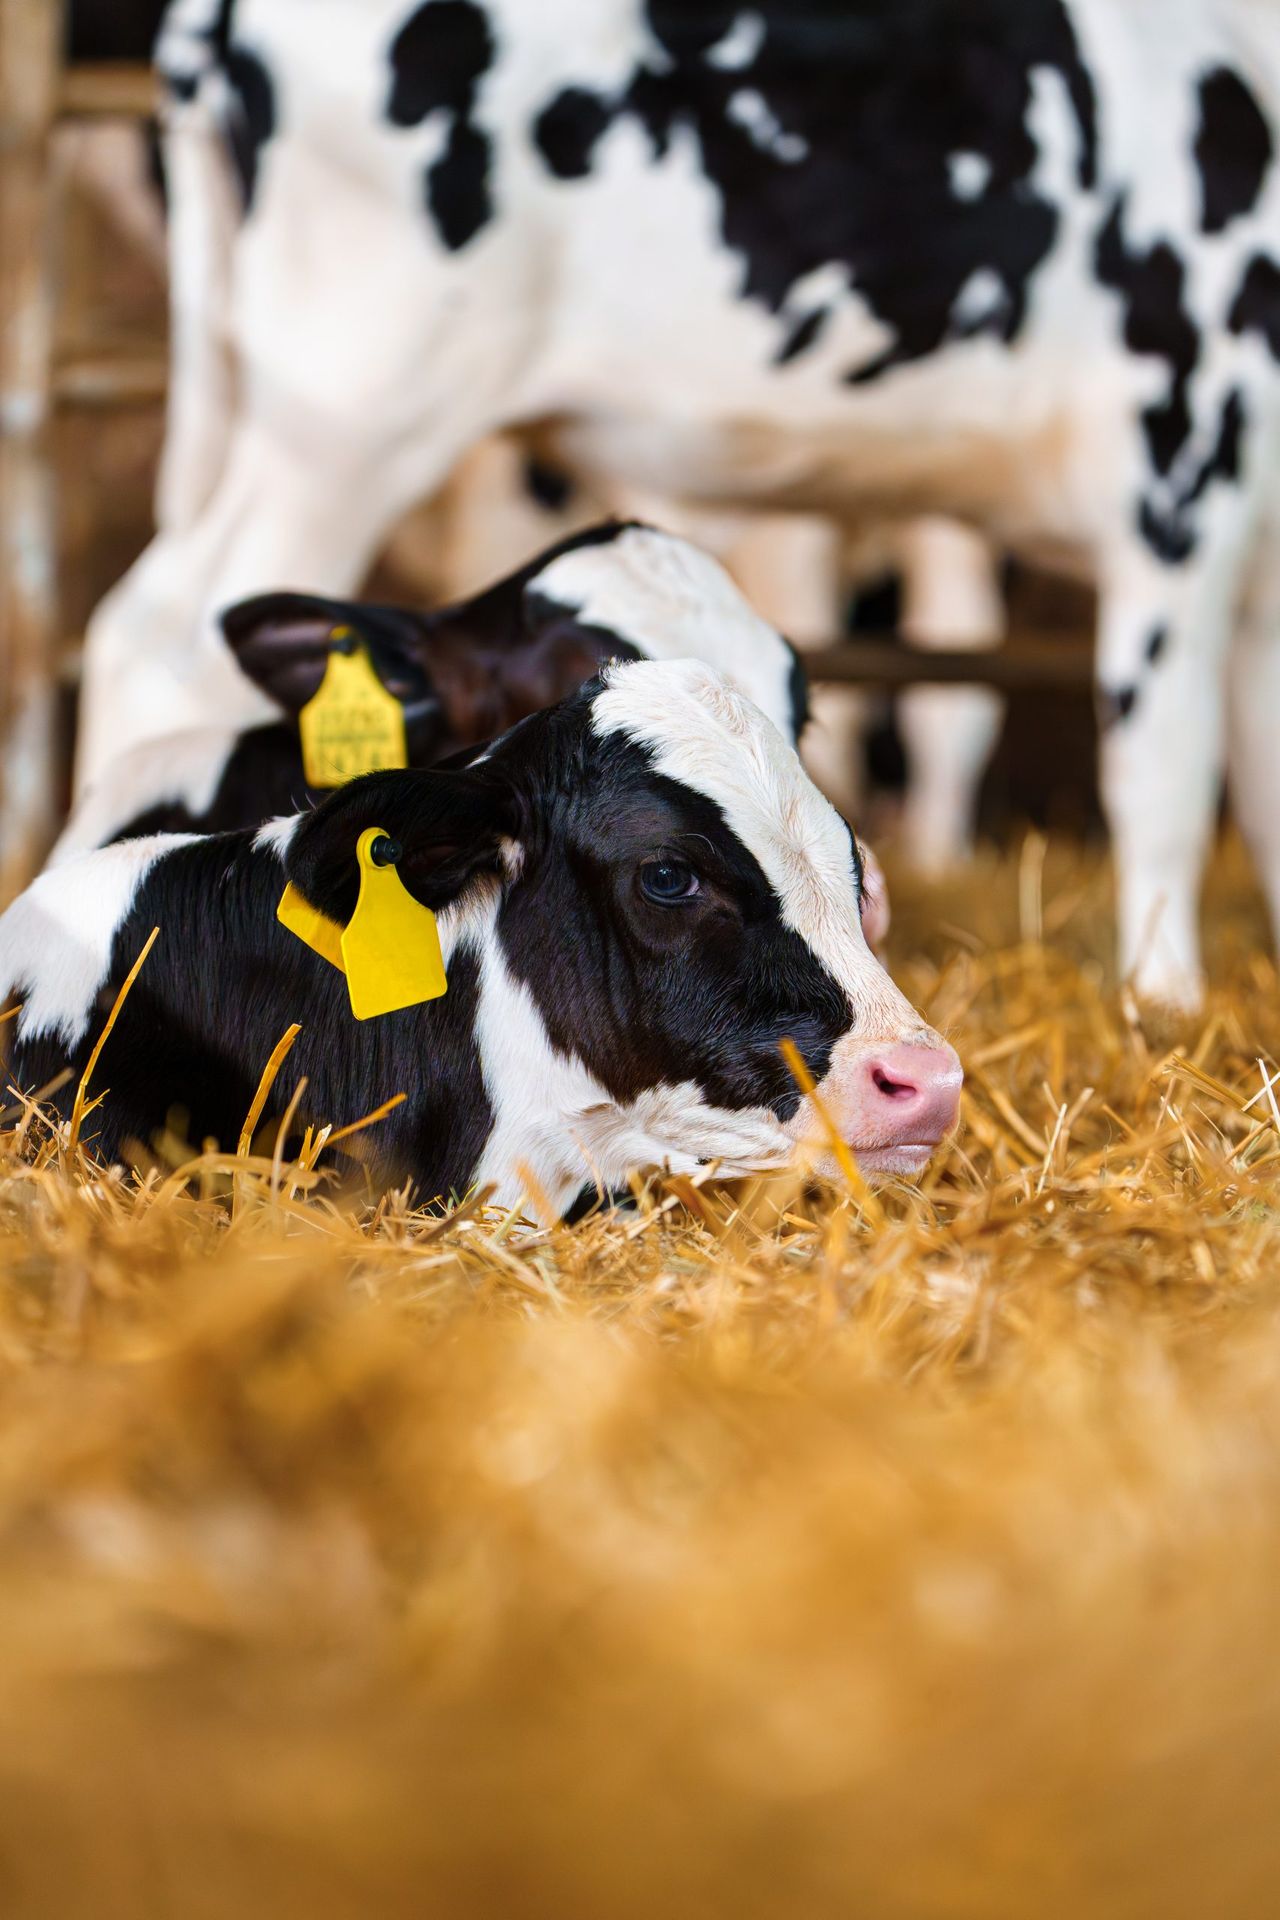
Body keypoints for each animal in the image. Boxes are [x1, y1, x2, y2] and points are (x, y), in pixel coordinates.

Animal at [75, 0, 1280, 1009]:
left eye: (800, 710)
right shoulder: (1181, 468)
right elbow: (1164, 769)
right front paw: (1165, 1004)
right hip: (346, 415)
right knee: (163, 637)